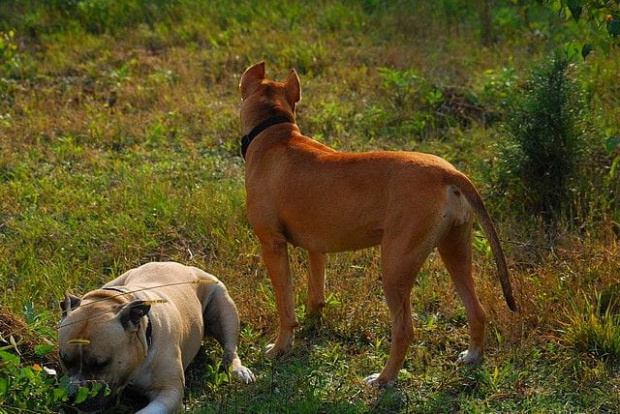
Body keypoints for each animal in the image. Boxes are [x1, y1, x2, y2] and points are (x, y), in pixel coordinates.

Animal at [240, 63, 516, 386]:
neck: (274, 132)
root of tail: (448, 173)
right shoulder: (316, 249)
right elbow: (315, 293)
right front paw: (312, 325)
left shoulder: (272, 245)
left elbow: (285, 305)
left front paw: (279, 348)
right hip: (455, 250)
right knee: (477, 310)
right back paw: (472, 357)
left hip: (396, 265)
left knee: (405, 329)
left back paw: (383, 379)